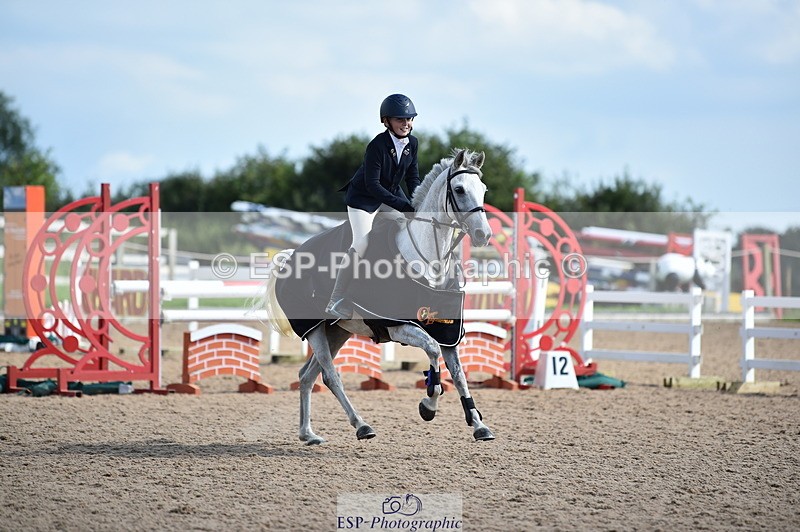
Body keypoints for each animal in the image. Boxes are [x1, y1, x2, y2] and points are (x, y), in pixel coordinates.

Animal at [257, 148, 496, 445]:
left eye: (483, 189)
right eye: (460, 189)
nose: (484, 234)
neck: (429, 262)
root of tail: (289, 259)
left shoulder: (447, 332)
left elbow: (459, 375)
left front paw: (479, 425)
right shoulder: (399, 327)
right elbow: (432, 351)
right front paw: (428, 406)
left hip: (337, 331)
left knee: (307, 376)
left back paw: (308, 434)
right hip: (314, 330)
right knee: (330, 375)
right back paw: (361, 425)